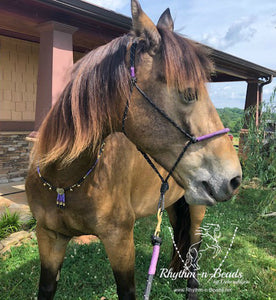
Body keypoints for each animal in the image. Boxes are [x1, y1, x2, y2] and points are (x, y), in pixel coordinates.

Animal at [25, 1, 242, 298]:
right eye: (188, 93)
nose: (234, 178)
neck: (64, 182)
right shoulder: (49, 237)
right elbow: (46, 287)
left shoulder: (119, 240)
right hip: (173, 202)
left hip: (198, 208)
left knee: (195, 247)